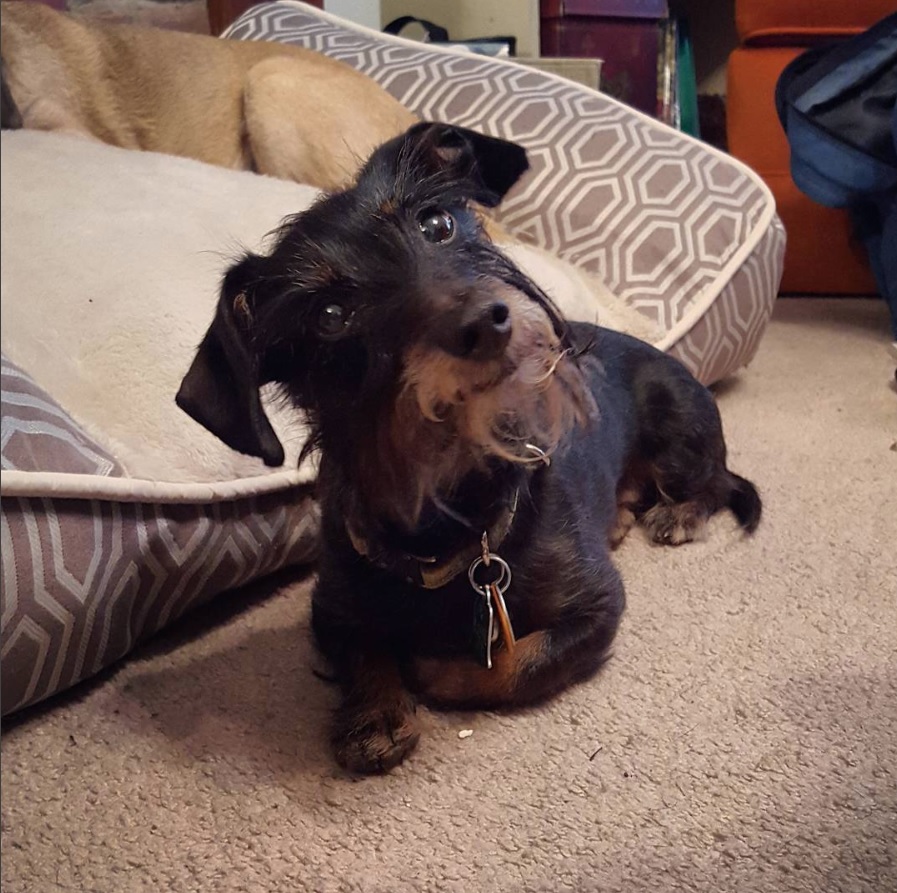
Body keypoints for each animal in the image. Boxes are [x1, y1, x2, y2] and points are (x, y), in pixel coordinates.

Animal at [178, 122, 760, 772]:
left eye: (437, 224)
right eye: (329, 315)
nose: (487, 323)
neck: (450, 508)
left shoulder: (597, 608)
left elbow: (511, 663)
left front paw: (432, 671)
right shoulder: (330, 609)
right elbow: (365, 647)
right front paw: (375, 712)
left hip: (678, 433)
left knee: (714, 483)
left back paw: (677, 514)